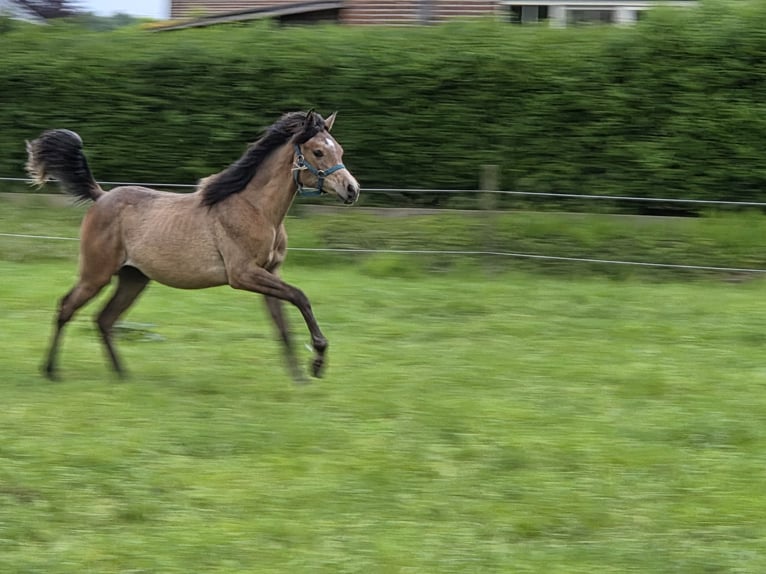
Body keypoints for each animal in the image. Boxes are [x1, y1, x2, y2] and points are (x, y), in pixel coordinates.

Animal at [25, 110, 360, 383]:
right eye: (318, 151)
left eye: (340, 149)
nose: (352, 189)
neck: (256, 209)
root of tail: (101, 196)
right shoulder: (243, 275)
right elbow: (301, 297)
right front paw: (318, 360)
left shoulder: (270, 272)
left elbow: (283, 324)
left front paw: (301, 377)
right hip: (96, 274)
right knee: (66, 307)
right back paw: (50, 371)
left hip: (134, 278)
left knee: (104, 319)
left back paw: (122, 376)